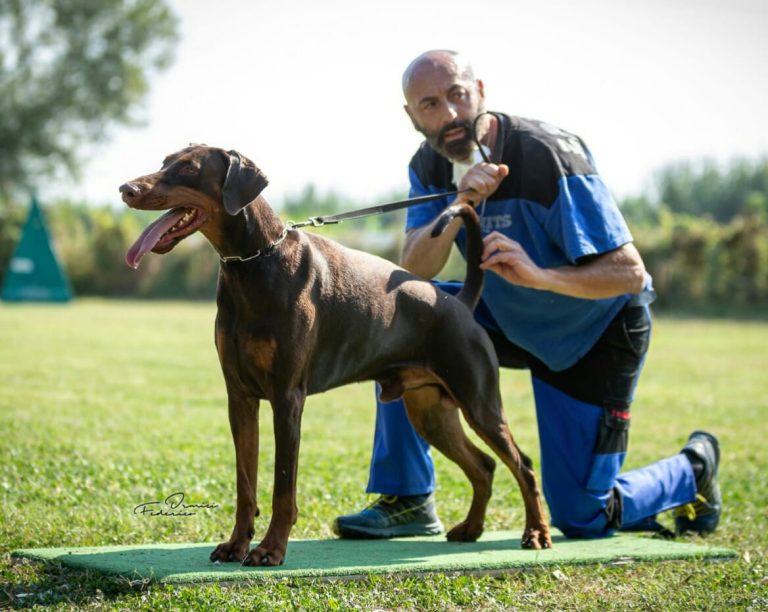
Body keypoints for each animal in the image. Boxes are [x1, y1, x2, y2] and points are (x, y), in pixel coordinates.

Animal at [120, 146, 552, 568]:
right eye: (163, 162)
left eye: (188, 168)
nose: (126, 188)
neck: (254, 262)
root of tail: (460, 302)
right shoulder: (239, 398)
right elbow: (246, 484)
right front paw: (236, 545)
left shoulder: (286, 398)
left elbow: (282, 485)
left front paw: (270, 550)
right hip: (430, 411)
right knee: (484, 466)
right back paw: (472, 528)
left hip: (479, 401)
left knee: (523, 465)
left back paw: (536, 533)